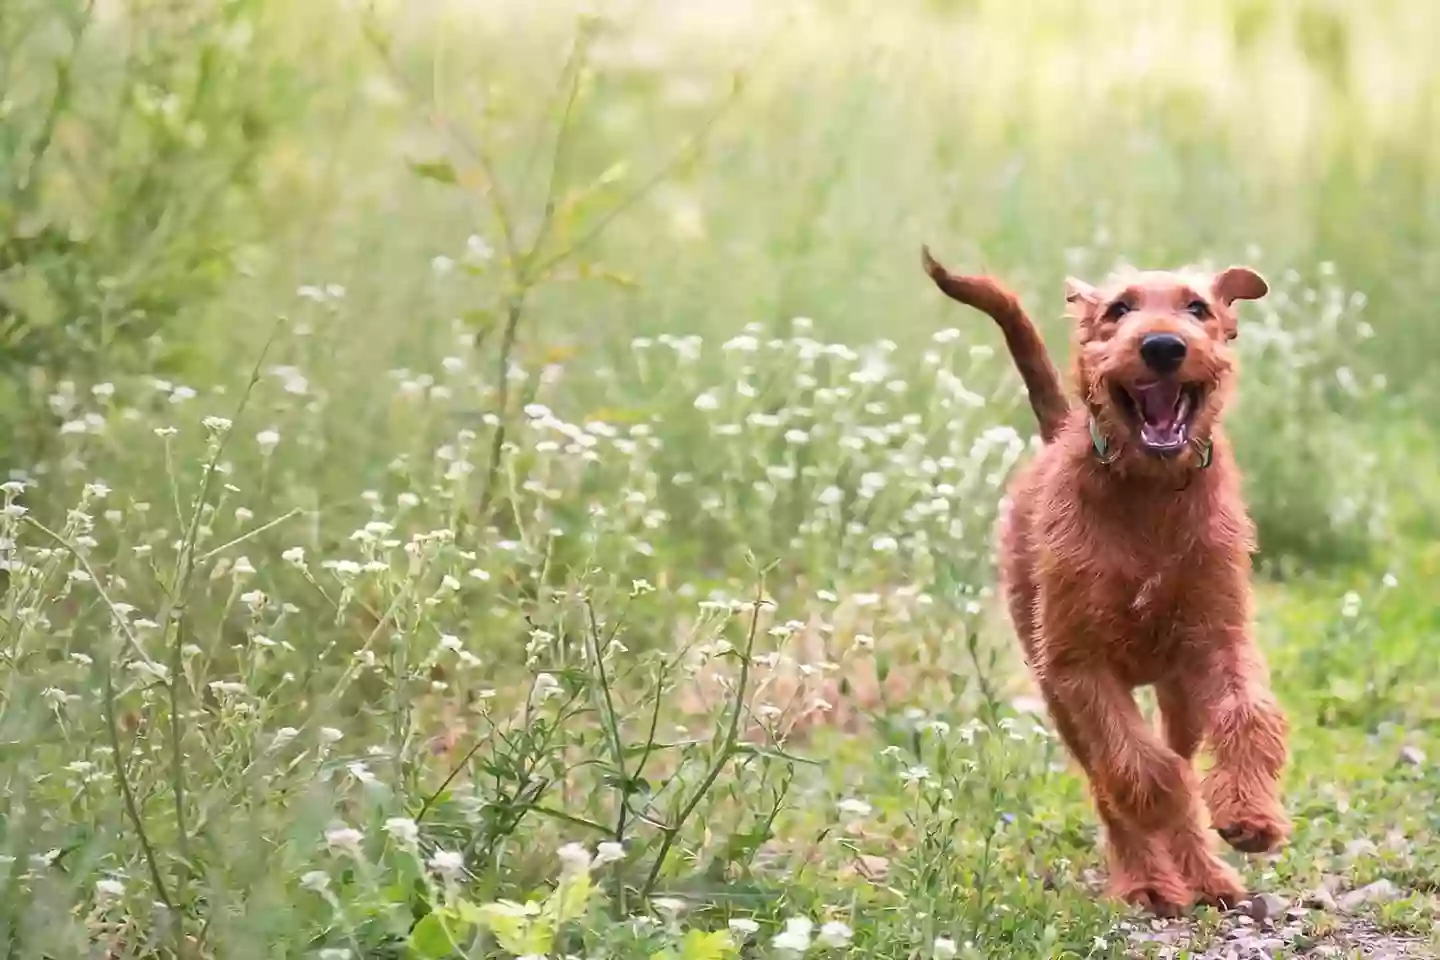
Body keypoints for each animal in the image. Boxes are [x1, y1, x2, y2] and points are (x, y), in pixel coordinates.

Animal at [921, 246, 1296, 915]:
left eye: (1198, 308)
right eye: (1119, 310)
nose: (1163, 346)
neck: (1149, 491)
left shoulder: (1220, 638)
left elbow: (1248, 715)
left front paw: (1250, 814)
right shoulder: (1078, 664)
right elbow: (1136, 767)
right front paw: (1170, 807)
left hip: (1177, 688)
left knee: (1174, 745)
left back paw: (1206, 876)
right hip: (1054, 686)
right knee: (1109, 779)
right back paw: (1149, 880)